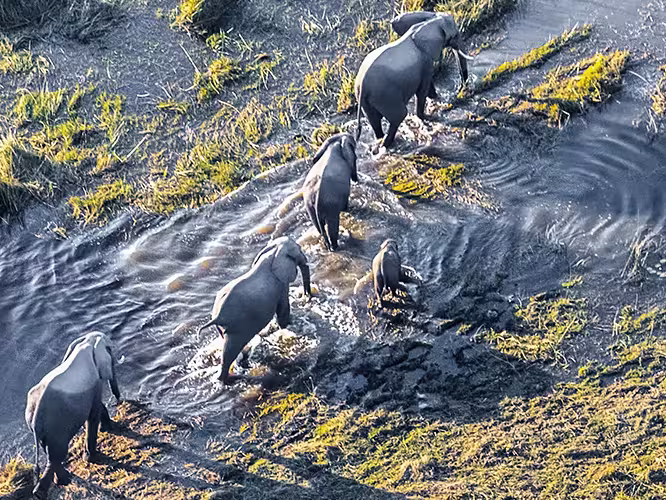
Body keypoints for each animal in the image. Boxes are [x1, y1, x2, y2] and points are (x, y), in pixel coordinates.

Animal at [25, 332, 121, 500]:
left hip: (42, 428)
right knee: (57, 454)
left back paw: (60, 482)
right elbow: (93, 413)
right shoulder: (94, 381)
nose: (119, 401)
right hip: (56, 425)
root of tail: (36, 416)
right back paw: (45, 491)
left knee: (51, 454)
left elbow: (96, 407)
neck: (87, 342)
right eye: (110, 350)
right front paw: (93, 459)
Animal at [198, 237, 312, 383]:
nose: (307, 296)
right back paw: (236, 377)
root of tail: (217, 317)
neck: (273, 252)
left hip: (223, 328)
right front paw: (287, 325)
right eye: (299, 249)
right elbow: (283, 309)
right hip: (238, 327)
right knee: (230, 351)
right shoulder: (280, 284)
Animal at [355, 14, 471, 148]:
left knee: (374, 120)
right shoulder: (425, 59)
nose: (462, 89)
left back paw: (380, 141)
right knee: (399, 115)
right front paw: (426, 117)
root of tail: (363, 85)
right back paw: (387, 144)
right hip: (385, 95)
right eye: (455, 35)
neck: (426, 23)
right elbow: (423, 90)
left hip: (366, 100)